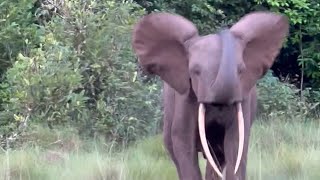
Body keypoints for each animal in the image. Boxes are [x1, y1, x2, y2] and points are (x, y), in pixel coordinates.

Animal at [131, 11, 288, 180]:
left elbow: (236, 144)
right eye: (195, 71)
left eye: (241, 71)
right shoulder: (185, 98)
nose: (222, 31)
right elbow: (183, 141)